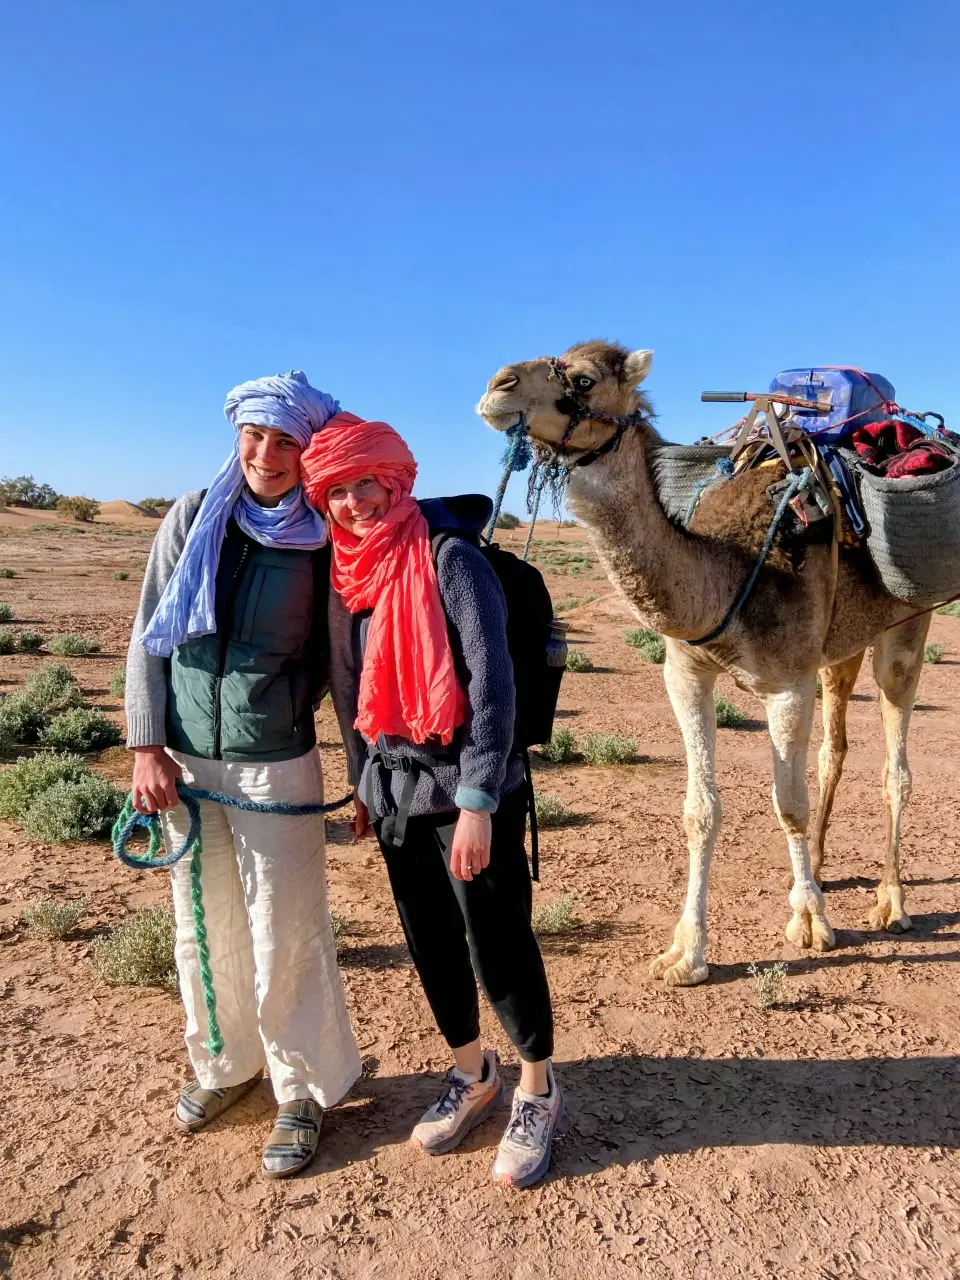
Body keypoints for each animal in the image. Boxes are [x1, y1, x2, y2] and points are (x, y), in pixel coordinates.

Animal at [478, 340, 932, 986]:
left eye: (584, 380)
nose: (498, 386)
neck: (727, 573)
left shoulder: (787, 684)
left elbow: (786, 805)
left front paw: (810, 923)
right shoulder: (686, 671)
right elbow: (700, 810)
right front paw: (686, 952)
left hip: (906, 622)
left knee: (896, 765)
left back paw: (891, 903)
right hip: (839, 646)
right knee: (834, 749)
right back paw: (820, 865)